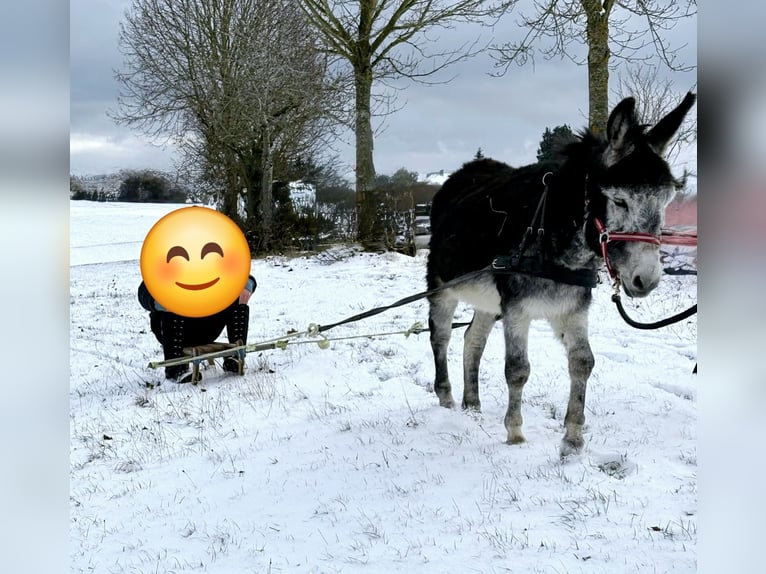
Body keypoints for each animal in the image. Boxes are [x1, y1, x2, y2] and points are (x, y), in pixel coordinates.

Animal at [426, 93, 696, 457]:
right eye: (619, 201)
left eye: (666, 201)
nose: (647, 280)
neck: (549, 234)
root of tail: (462, 173)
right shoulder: (516, 309)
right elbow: (517, 369)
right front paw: (515, 434)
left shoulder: (572, 308)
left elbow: (583, 362)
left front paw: (573, 439)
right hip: (442, 286)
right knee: (441, 336)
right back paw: (446, 398)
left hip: (488, 301)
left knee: (473, 339)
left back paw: (472, 403)